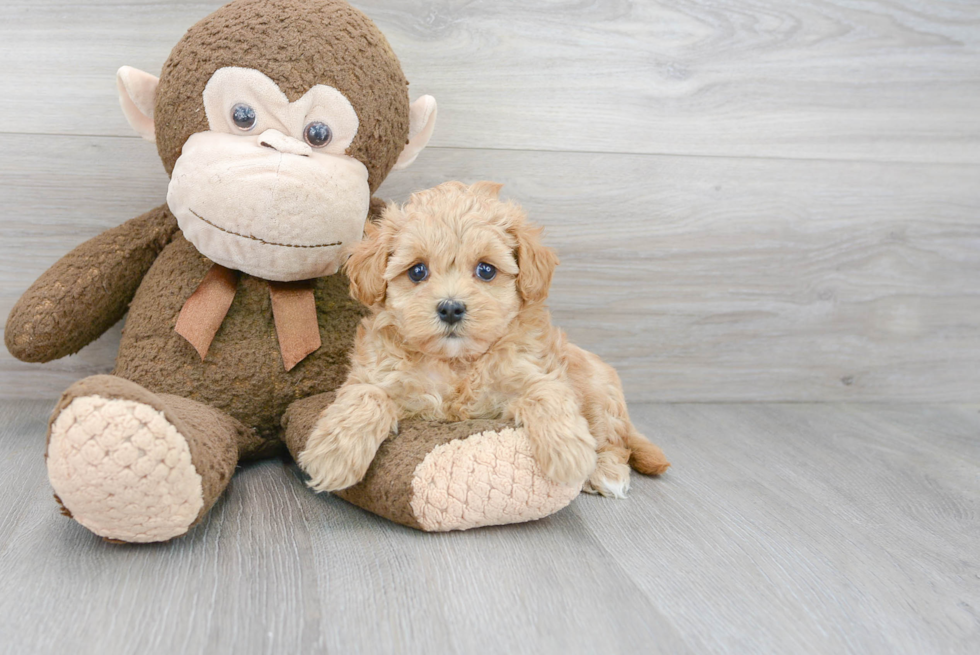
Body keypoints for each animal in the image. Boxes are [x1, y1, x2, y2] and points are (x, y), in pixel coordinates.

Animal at [298, 181, 668, 498]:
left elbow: (546, 394)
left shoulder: (533, 373)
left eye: (486, 270)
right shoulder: (378, 374)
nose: (450, 308)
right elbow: (366, 396)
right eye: (417, 271)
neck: (458, 362)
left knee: (614, 441)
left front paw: (569, 452)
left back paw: (606, 472)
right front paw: (333, 455)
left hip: (597, 391)